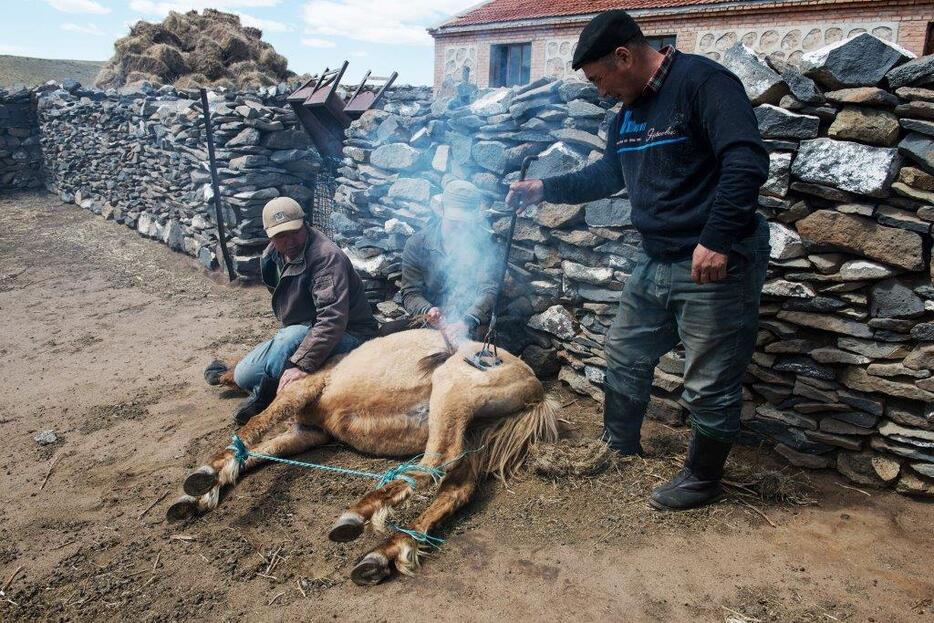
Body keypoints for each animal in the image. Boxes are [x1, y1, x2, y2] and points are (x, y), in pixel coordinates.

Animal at [165, 330, 560, 588]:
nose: (216, 372)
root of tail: (534, 388)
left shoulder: (303, 390)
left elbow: (256, 426)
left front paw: (202, 477)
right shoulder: (308, 433)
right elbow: (262, 451)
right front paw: (198, 497)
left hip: (452, 394)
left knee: (435, 462)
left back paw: (356, 517)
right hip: (472, 436)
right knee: (455, 489)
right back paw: (384, 553)